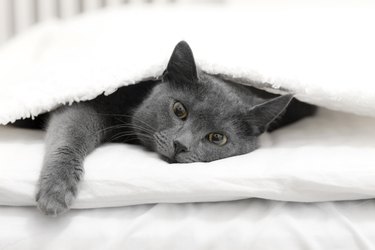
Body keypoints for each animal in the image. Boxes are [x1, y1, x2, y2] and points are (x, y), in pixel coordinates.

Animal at [12, 40, 318, 215]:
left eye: (217, 138)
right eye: (179, 110)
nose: (180, 144)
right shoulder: (91, 101)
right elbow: (71, 130)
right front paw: (56, 191)